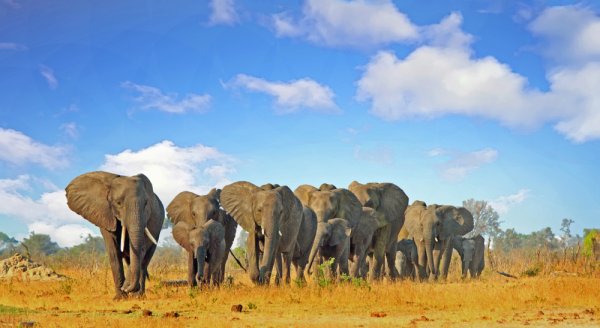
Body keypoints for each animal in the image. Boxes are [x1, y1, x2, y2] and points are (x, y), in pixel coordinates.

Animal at [65, 172, 163, 300]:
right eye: (118, 203)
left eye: (146, 204)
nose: (126, 287)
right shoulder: (105, 215)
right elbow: (114, 252)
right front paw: (120, 298)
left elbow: (142, 249)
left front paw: (127, 290)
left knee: (145, 260)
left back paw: (138, 296)